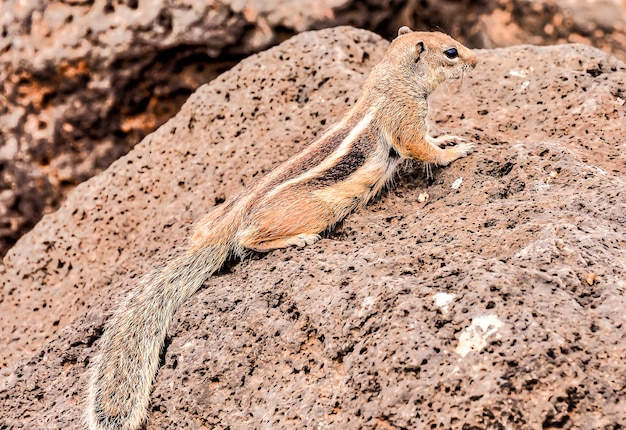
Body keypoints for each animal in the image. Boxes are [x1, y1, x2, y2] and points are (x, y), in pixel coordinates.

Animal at [85, 27, 478, 430]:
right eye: (450, 52)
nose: (477, 60)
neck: (394, 77)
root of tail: (221, 229)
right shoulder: (405, 122)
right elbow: (421, 148)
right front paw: (455, 151)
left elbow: (429, 142)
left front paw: (447, 138)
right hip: (316, 210)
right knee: (247, 241)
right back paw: (298, 239)